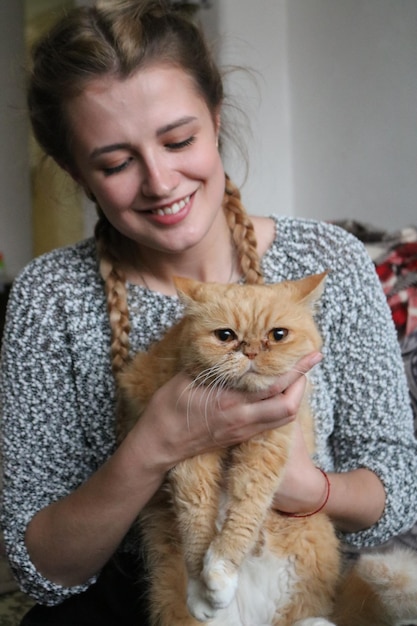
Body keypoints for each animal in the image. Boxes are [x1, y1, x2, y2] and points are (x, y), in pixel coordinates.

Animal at [118, 274, 342, 624]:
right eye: (225, 336)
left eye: (278, 335)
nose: (250, 352)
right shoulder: (189, 455)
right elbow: (196, 524)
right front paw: (202, 591)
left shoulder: (268, 448)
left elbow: (245, 511)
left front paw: (220, 570)